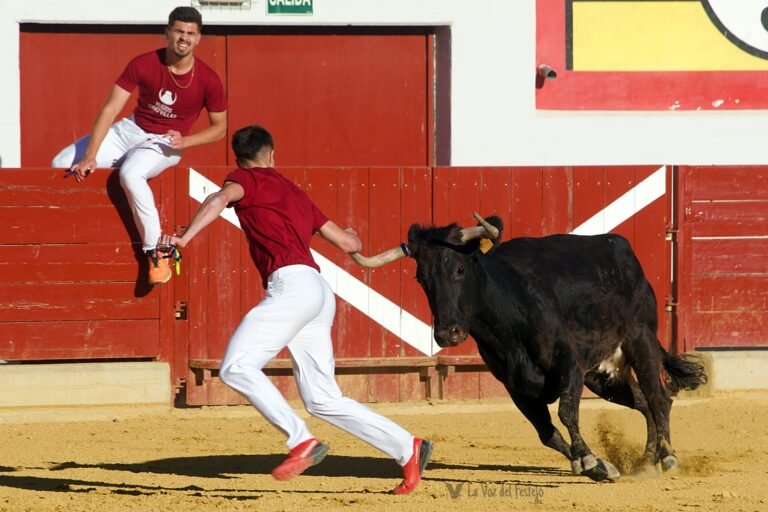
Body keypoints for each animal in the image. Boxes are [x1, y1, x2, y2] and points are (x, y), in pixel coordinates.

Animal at [351, 213, 707, 482]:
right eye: (421, 279)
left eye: (460, 269)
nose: (447, 334)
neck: (508, 315)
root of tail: (623, 250)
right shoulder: (516, 386)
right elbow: (547, 433)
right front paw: (599, 467)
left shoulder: (569, 364)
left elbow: (566, 412)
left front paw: (590, 461)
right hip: (602, 375)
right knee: (643, 402)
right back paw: (646, 461)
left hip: (640, 340)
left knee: (659, 398)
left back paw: (667, 457)